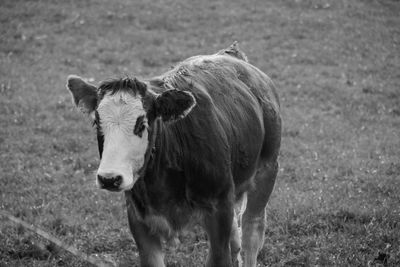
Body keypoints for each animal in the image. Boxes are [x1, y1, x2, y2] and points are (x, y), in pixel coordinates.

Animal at [65, 42, 282, 267]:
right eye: (96, 123)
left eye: (142, 124)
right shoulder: (138, 218)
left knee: (251, 230)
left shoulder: (218, 211)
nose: (109, 178)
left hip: (267, 169)